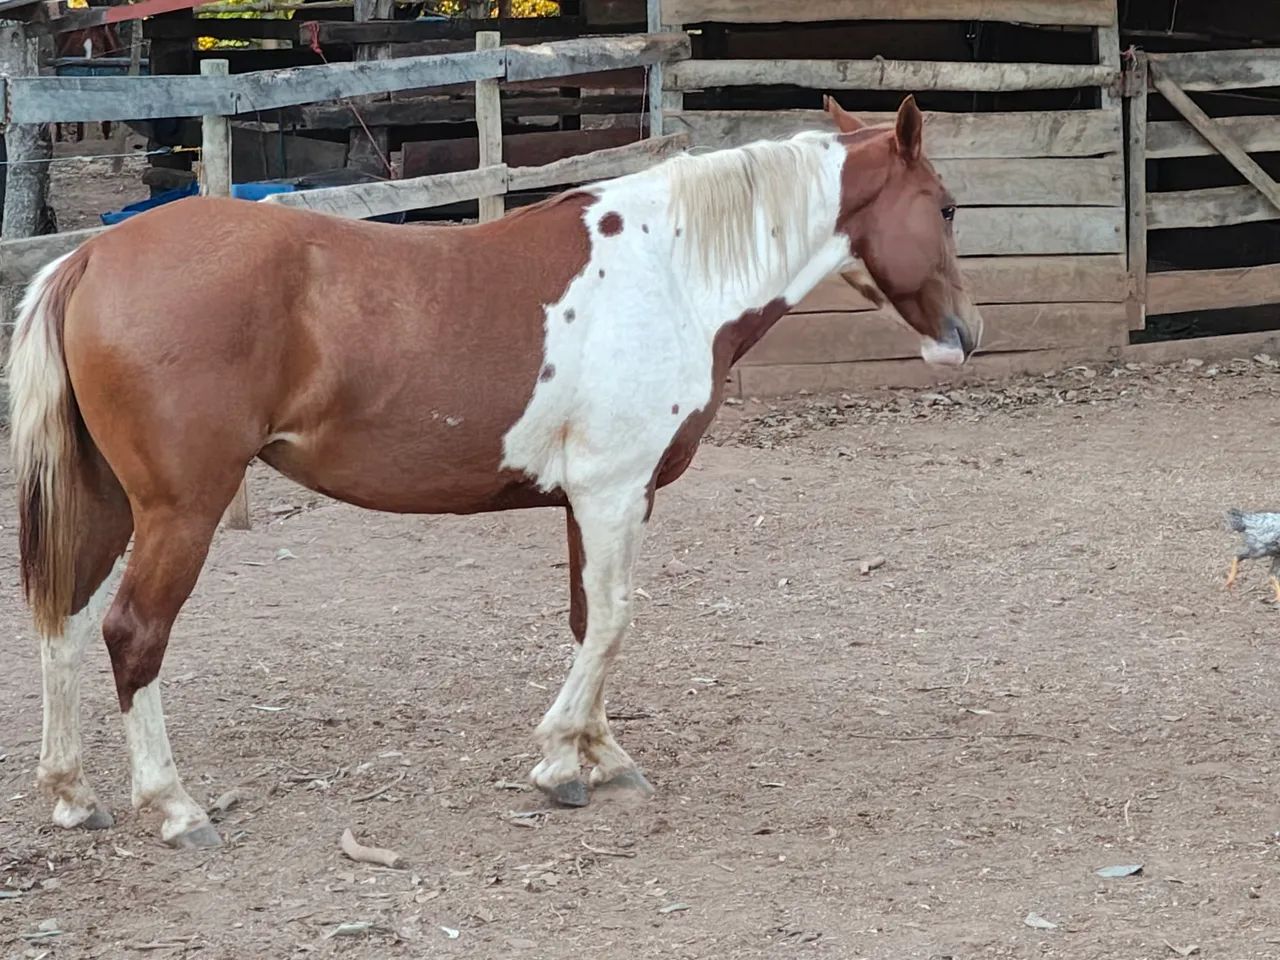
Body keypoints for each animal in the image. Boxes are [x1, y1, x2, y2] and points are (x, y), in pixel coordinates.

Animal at [8, 94, 981, 849]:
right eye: (943, 208)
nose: (965, 336)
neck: (666, 273)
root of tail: (91, 256)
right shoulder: (614, 492)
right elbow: (615, 621)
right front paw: (560, 759)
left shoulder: (590, 500)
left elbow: (588, 620)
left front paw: (596, 757)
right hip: (181, 509)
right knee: (133, 633)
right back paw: (173, 808)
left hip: (107, 502)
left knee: (64, 619)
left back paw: (74, 795)